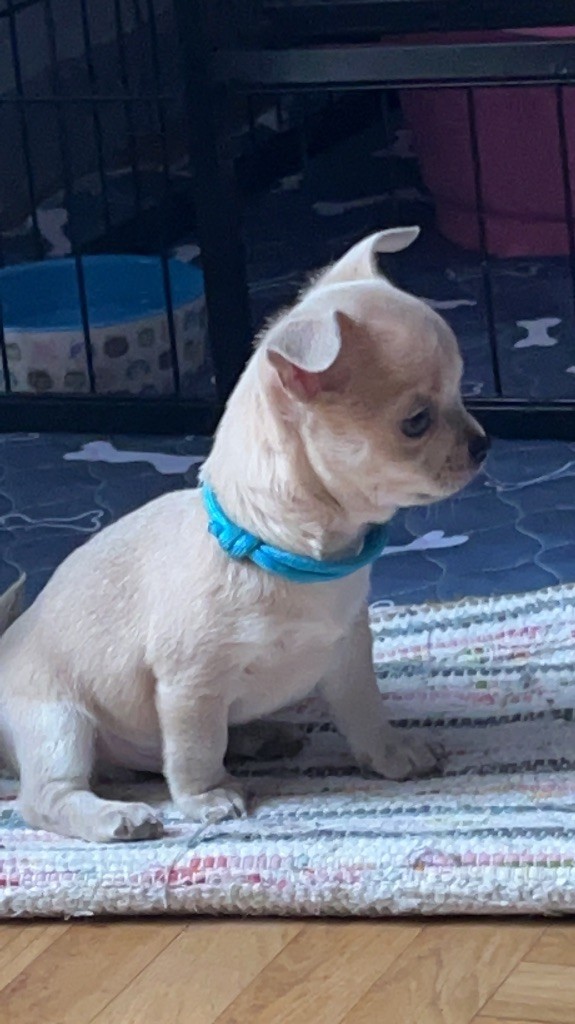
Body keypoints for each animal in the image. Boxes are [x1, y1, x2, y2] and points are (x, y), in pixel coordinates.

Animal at [0, 227, 488, 842]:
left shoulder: (347, 651)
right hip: (58, 722)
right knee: (46, 797)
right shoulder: (191, 683)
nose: (483, 443)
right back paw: (116, 816)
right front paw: (206, 799)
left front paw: (391, 753)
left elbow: (364, 711)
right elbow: (195, 748)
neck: (277, 549)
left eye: (462, 394)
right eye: (416, 422)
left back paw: (259, 736)